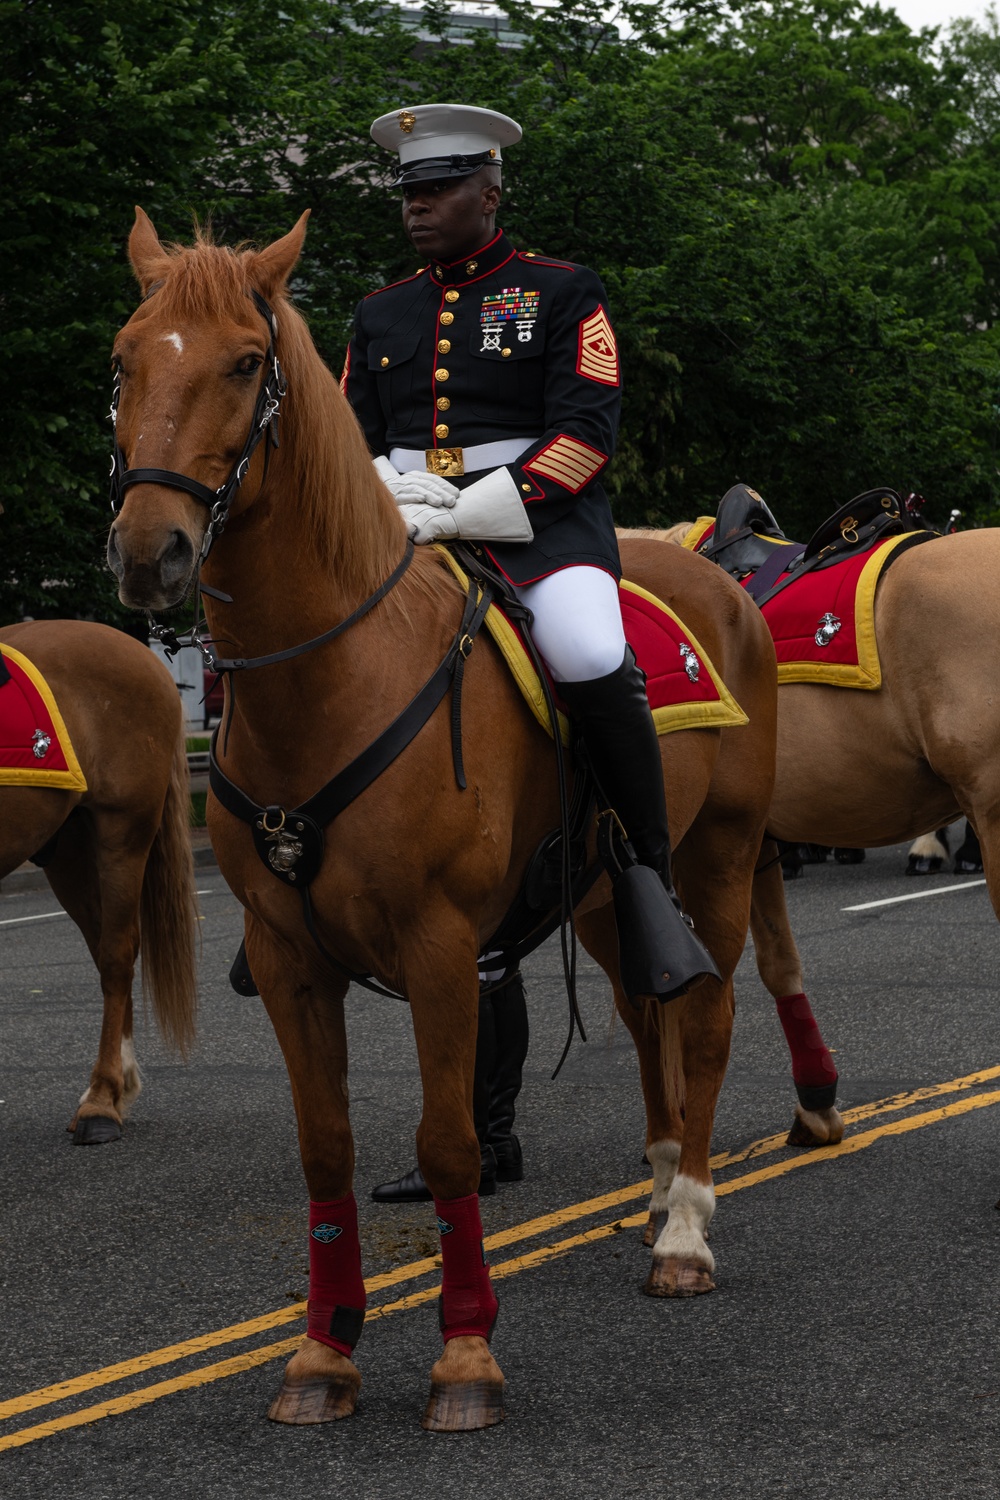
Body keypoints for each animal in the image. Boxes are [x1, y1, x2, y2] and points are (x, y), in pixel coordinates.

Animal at [0, 621, 197, 1146]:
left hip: (122, 835)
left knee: (117, 954)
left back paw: (102, 1100)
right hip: (66, 849)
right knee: (105, 947)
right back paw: (115, 1086)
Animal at [105, 208, 779, 1428]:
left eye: (245, 362)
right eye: (126, 360)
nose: (149, 552)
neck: (331, 677)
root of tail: (709, 571)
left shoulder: (438, 945)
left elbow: (453, 1143)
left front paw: (465, 1356)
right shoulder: (290, 956)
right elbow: (325, 1147)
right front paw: (322, 1352)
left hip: (713, 858)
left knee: (701, 1019)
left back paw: (688, 1233)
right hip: (604, 891)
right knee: (641, 1013)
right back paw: (661, 1188)